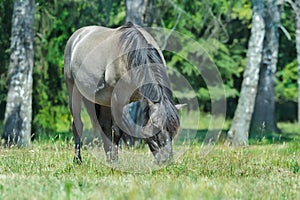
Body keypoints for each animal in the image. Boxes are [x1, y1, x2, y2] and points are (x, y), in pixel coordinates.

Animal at [64, 22, 182, 166]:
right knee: (78, 125)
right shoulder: (118, 99)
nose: (167, 160)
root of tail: (77, 35)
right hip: (73, 89)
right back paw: (78, 159)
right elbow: (117, 130)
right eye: (155, 125)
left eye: (174, 128)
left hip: (103, 100)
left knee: (104, 126)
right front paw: (115, 160)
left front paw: (112, 159)